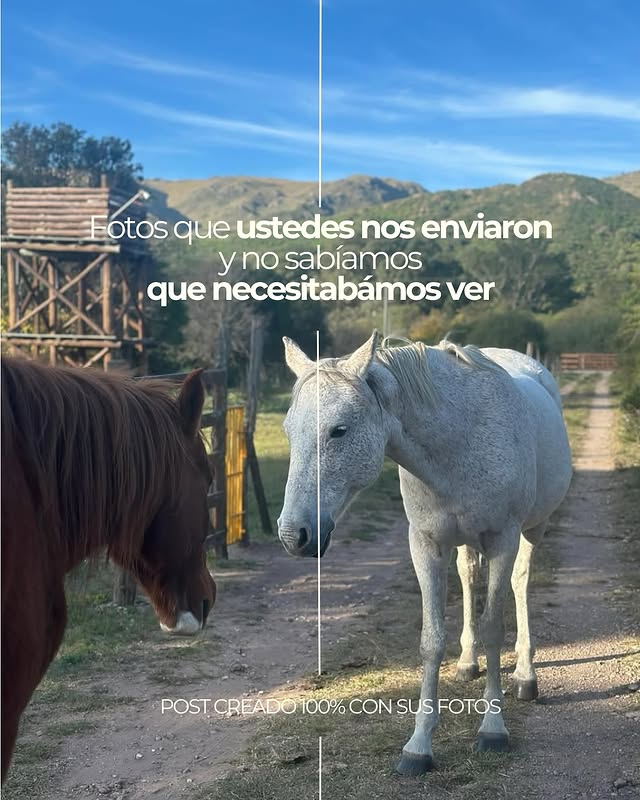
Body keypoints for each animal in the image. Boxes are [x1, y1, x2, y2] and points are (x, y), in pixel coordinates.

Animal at [277, 332, 572, 775]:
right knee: (468, 578)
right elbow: (431, 639)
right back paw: (467, 663)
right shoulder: (426, 544)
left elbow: (493, 627)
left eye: (339, 430)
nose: (292, 535)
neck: (459, 439)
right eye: (288, 429)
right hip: (466, 542)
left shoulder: (502, 539)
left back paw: (525, 676)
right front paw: (417, 747)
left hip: (532, 530)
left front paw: (493, 729)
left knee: (520, 584)